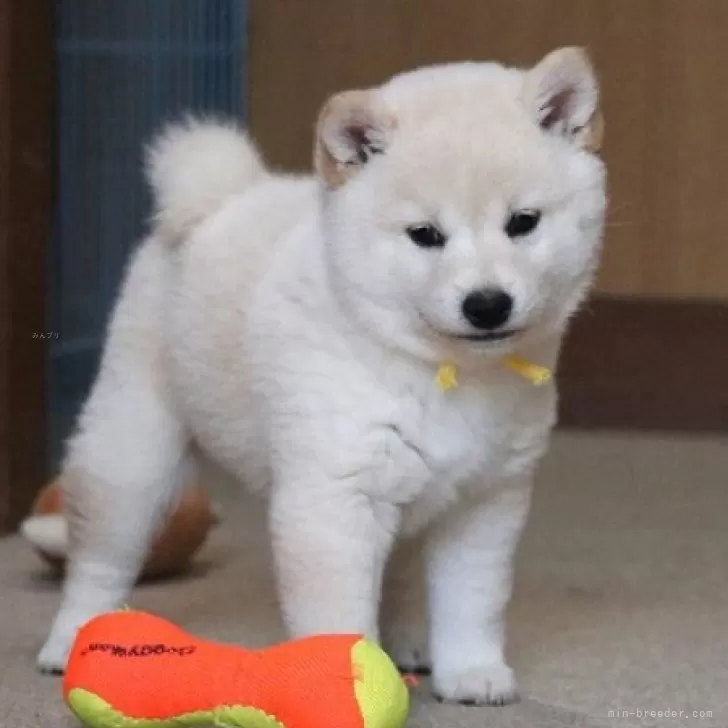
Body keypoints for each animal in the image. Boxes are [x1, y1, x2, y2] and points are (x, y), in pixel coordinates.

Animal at [39, 47, 608, 704]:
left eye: (523, 222)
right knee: (100, 557)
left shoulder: (485, 500)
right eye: (425, 235)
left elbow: (472, 600)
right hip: (134, 449)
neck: (433, 369)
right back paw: (71, 640)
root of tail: (226, 196)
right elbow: (338, 615)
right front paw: (340, 687)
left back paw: (410, 643)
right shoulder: (334, 498)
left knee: (402, 575)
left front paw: (470, 671)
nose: (487, 304)